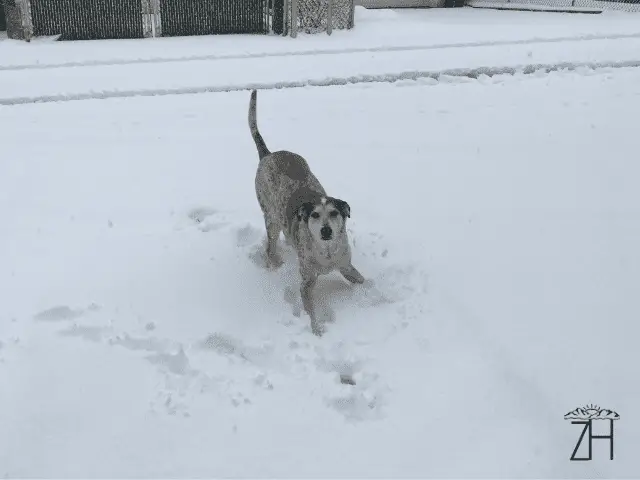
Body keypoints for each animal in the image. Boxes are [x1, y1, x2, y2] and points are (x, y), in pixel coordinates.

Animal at [248, 91, 362, 338]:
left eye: (334, 213)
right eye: (315, 215)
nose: (326, 230)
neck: (326, 253)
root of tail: (268, 155)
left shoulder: (347, 266)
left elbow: (362, 280)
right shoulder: (306, 282)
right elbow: (310, 311)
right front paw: (317, 330)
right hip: (270, 216)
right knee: (270, 245)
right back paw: (273, 263)